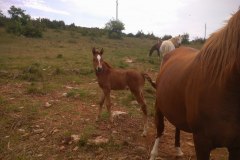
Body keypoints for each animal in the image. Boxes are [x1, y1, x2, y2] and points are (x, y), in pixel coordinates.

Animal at [150, 9, 240, 160]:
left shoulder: (235, 147)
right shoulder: (202, 142)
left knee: (177, 126)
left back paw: (178, 149)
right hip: (160, 105)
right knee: (160, 128)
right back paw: (154, 153)